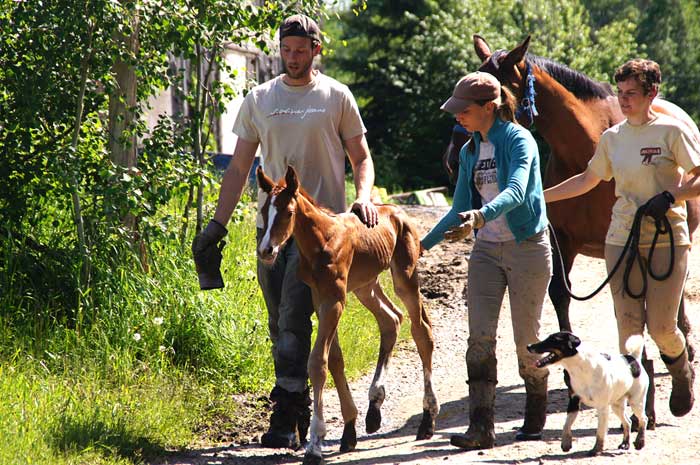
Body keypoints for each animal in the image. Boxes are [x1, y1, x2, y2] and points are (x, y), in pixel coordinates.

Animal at [254, 165, 434, 462]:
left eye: (288, 212)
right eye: (264, 210)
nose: (266, 250)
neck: (322, 240)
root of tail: (398, 211)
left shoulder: (335, 300)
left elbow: (317, 362)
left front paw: (315, 443)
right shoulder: (320, 298)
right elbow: (335, 360)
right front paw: (349, 430)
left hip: (404, 277)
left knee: (422, 332)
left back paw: (428, 420)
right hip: (365, 285)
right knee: (391, 319)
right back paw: (374, 409)